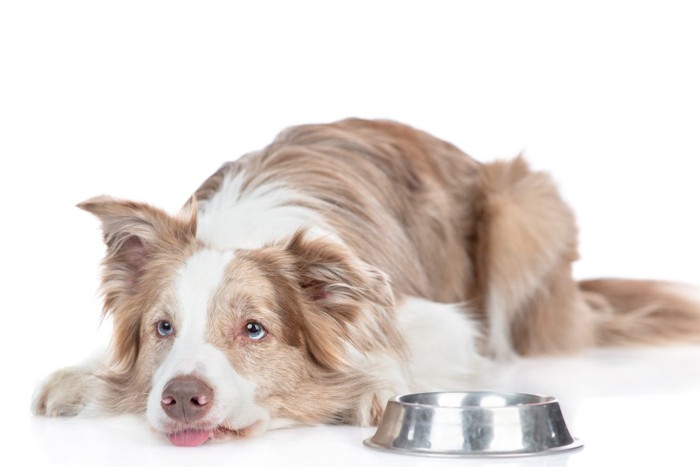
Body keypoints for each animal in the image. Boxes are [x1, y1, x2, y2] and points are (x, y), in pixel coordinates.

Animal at [32, 117, 700, 446]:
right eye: (163, 328)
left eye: (254, 329)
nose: (181, 398)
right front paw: (80, 377)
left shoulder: (441, 322)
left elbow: (396, 361)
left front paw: (373, 390)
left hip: (522, 210)